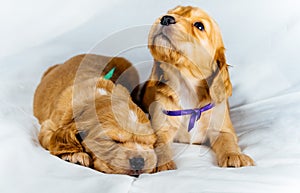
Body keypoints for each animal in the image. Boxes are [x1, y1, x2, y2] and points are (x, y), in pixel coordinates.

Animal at [142, 5, 254, 170]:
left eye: (199, 26)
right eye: (171, 12)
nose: (166, 18)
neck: (186, 86)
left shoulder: (221, 128)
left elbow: (228, 141)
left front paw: (234, 155)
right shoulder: (161, 127)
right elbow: (160, 143)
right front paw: (162, 163)